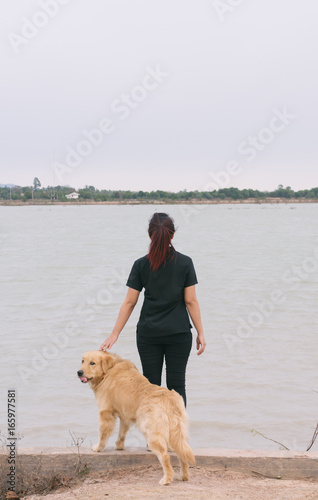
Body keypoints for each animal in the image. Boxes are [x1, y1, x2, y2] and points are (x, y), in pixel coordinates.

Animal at [78, 352, 195, 484]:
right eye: (82, 361)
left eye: (92, 363)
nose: (79, 372)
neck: (109, 369)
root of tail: (169, 399)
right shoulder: (124, 415)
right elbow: (122, 433)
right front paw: (119, 446)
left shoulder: (105, 412)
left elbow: (103, 435)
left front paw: (98, 448)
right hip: (177, 434)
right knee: (182, 453)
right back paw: (183, 476)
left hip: (152, 433)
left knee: (165, 456)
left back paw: (166, 479)